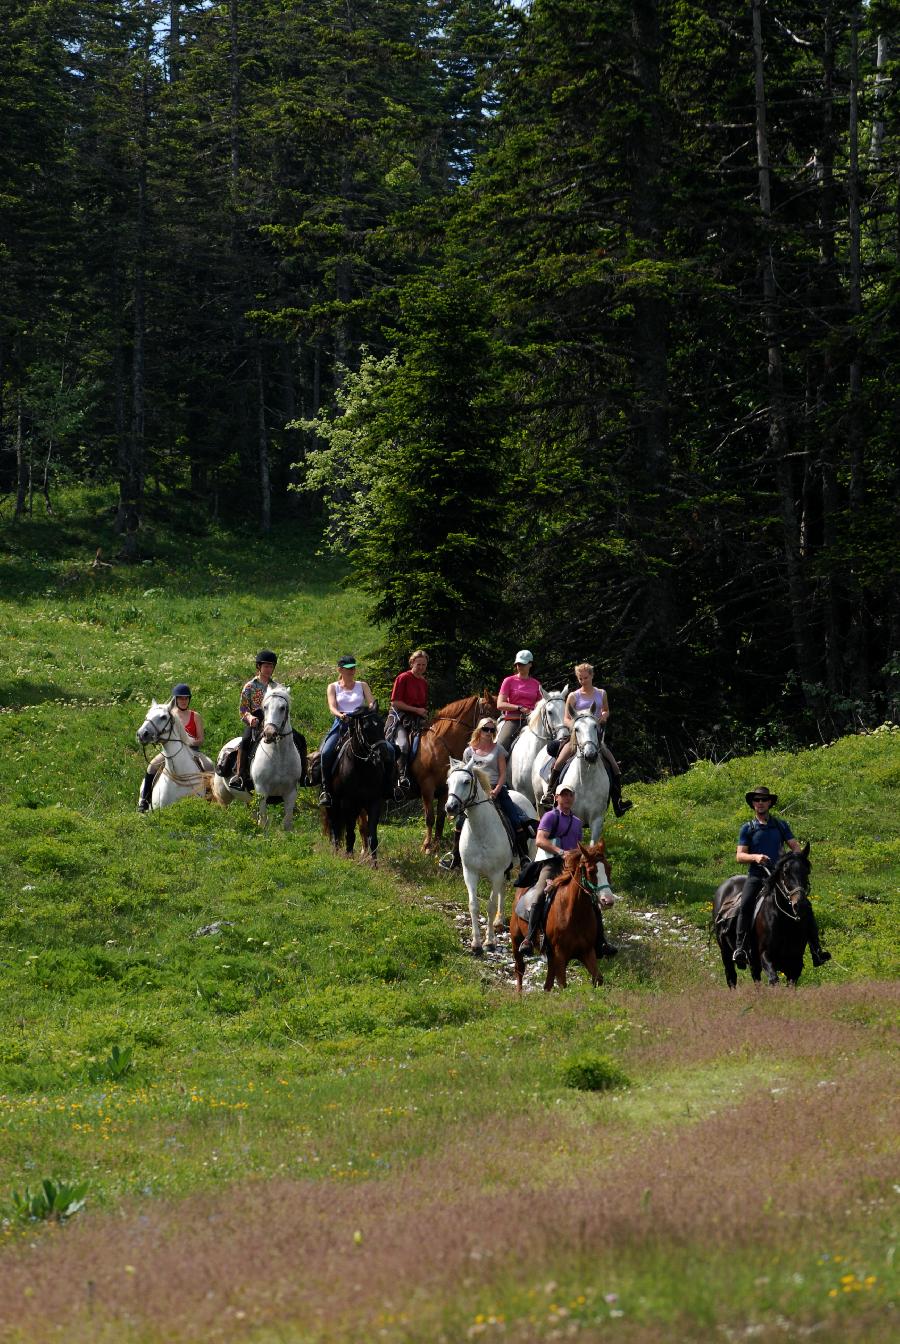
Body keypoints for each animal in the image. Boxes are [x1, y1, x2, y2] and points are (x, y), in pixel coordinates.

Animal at [326, 709, 392, 865]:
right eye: (366, 728)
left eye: (382, 725)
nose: (384, 755)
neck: (362, 768)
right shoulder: (348, 803)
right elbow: (350, 833)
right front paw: (349, 858)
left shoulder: (374, 802)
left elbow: (372, 835)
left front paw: (374, 864)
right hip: (333, 803)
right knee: (334, 827)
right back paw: (336, 852)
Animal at [443, 758, 537, 956]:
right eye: (448, 783)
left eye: (466, 781)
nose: (450, 807)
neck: (480, 830)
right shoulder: (470, 873)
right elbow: (474, 905)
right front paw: (476, 944)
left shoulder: (496, 873)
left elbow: (490, 906)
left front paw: (490, 942)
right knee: (502, 889)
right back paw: (499, 922)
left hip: (525, 860)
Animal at [510, 844, 617, 994]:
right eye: (591, 871)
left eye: (609, 868)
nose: (608, 901)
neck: (575, 915)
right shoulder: (560, 955)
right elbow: (563, 985)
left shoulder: (586, 951)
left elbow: (598, 979)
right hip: (516, 939)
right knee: (520, 969)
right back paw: (519, 994)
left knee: (547, 985)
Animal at [720, 849, 816, 989]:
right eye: (785, 872)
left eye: (807, 871)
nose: (801, 905)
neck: (785, 921)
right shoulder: (766, 955)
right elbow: (774, 980)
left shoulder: (795, 963)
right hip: (726, 953)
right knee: (731, 977)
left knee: (756, 978)